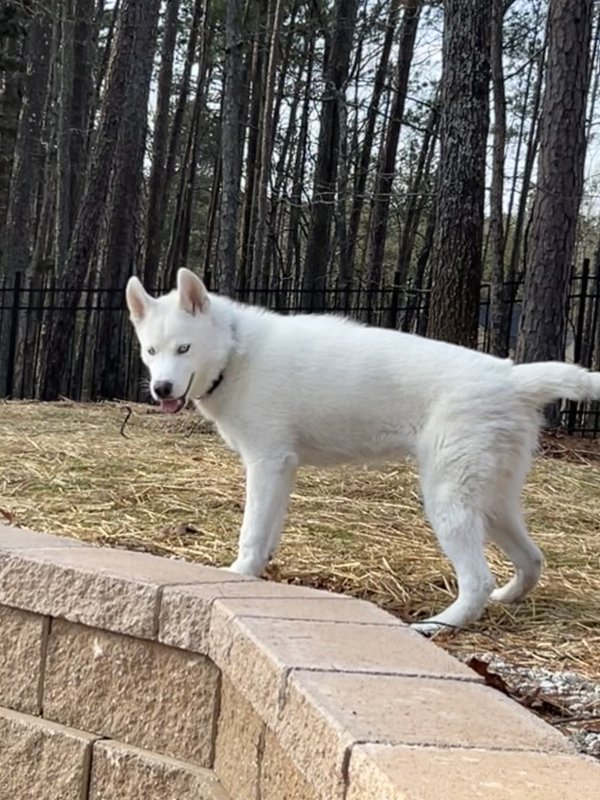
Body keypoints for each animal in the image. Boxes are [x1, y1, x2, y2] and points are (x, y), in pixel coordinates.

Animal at [126, 268, 600, 632]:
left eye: (184, 348)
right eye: (151, 351)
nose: (161, 388)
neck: (237, 352)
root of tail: (511, 376)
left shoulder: (267, 463)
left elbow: (251, 533)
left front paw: (239, 575)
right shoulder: (282, 469)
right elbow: (267, 534)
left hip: (449, 502)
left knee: (478, 579)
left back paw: (438, 626)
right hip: (494, 503)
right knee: (532, 560)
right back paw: (506, 598)